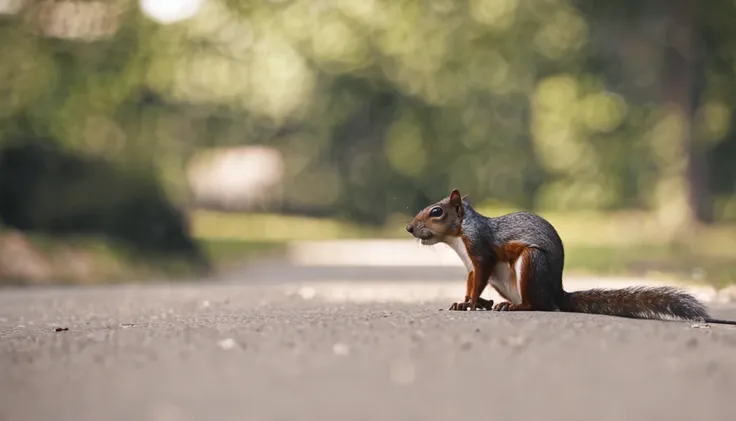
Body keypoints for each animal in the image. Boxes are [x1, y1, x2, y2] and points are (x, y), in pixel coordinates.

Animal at [406, 188, 736, 324]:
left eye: (437, 212)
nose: (409, 228)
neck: (458, 237)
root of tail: (557, 290)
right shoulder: (471, 266)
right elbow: (471, 282)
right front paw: (465, 301)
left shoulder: (481, 250)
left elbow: (479, 276)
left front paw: (472, 303)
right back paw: (493, 303)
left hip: (531, 263)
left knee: (539, 305)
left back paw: (514, 306)